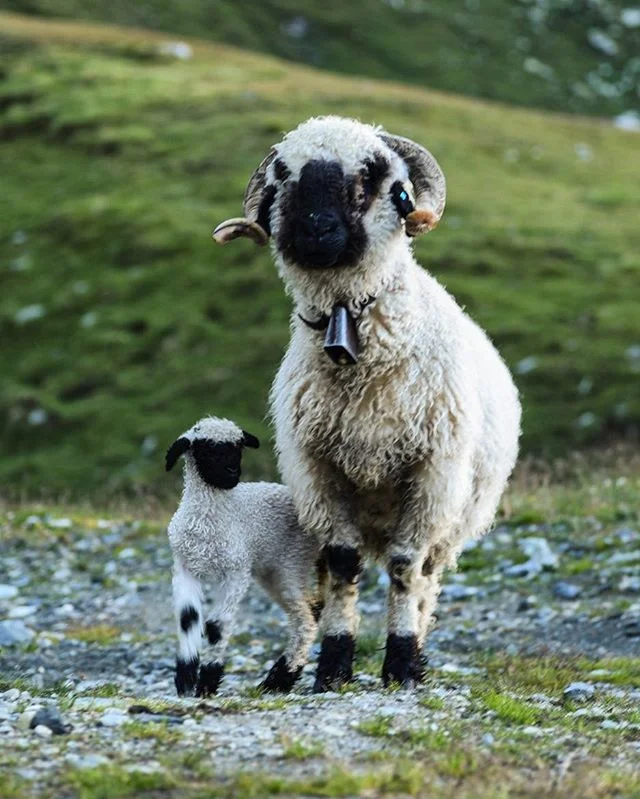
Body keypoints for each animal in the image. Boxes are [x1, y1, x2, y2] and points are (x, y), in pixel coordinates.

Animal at [165, 415, 324, 696]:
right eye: (207, 450)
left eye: (238, 448)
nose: (232, 473)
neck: (209, 521)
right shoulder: (185, 567)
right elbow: (188, 618)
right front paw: (185, 678)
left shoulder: (236, 570)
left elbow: (216, 626)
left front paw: (208, 681)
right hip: (273, 572)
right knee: (311, 609)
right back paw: (282, 678)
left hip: (292, 562)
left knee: (304, 618)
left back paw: (280, 678)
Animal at [213, 115, 521, 692]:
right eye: (283, 176)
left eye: (375, 175)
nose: (315, 229)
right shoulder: (319, 472)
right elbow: (341, 564)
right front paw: (333, 664)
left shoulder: (430, 475)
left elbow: (404, 567)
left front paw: (399, 662)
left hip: (455, 513)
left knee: (427, 577)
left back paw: (417, 650)